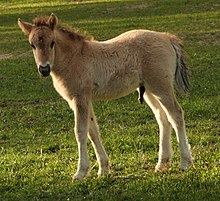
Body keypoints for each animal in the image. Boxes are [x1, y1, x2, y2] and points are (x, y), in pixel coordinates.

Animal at [18, 14, 192, 181]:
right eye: (32, 45)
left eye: (52, 43)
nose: (44, 69)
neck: (74, 58)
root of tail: (166, 37)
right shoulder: (84, 100)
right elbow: (93, 131)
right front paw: (103, 169)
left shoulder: (79, 98)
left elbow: (80, 132)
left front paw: (81, 172)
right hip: (150, 90)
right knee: (162, 118)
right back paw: (162, 163)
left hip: (161, 87)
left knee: (176, 114)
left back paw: (185, 163)